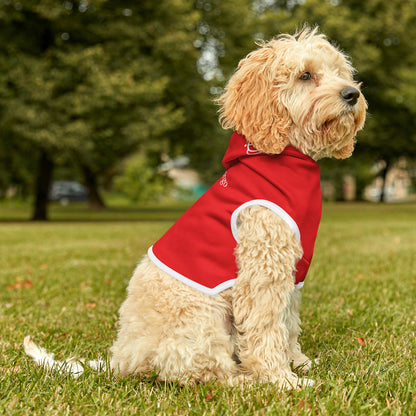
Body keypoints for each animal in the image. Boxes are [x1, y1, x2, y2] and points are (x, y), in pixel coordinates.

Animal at [24, 27, 366, 388]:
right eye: (305, 75)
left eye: (340, 72)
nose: (352, 94)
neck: (285, 157)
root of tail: (121, 359)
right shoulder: (263, 269)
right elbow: (266, 328)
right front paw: (281, 380)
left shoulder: (291, 272)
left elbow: (288, 323)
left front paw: (298, 363)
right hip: (202, 317)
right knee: (200, 371)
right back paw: (244, 380)